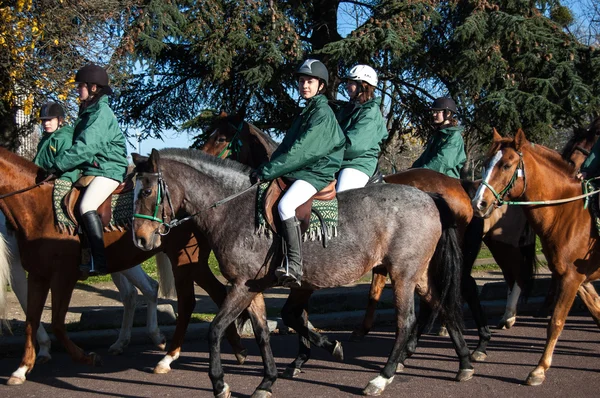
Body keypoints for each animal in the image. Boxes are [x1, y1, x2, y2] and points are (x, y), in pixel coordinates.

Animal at [0, 147, 251, 386]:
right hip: (192, 263)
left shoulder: (63, 276)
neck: (38, 208)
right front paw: (22, 368)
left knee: (186, 300)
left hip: (183, 261)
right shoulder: (37, 275)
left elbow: (57, 324)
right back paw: (236, 348)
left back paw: (168, 355)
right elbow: (31, 320)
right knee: (215, 292)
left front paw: (87, 357)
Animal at [132, 148, 474, 398]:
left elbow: (215, 330)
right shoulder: (252, 288)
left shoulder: (241, 287)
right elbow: (263, 333)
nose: (141, 239)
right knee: (443, 306)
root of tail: (429, 196)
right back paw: (465, 362)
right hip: (419, 274)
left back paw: (382, 378)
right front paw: (268, 380)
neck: (234, 209)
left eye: (146, 191)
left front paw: (219, 383)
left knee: (406, 322)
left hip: (403, 273)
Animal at [472, 127, 600, 386]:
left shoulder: (571, 278)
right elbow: (597, 311)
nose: (479, 203)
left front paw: (539, 369)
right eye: (486, 163)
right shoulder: (580, 280)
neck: (569, 214)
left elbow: (556, 321)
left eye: (507, 165)